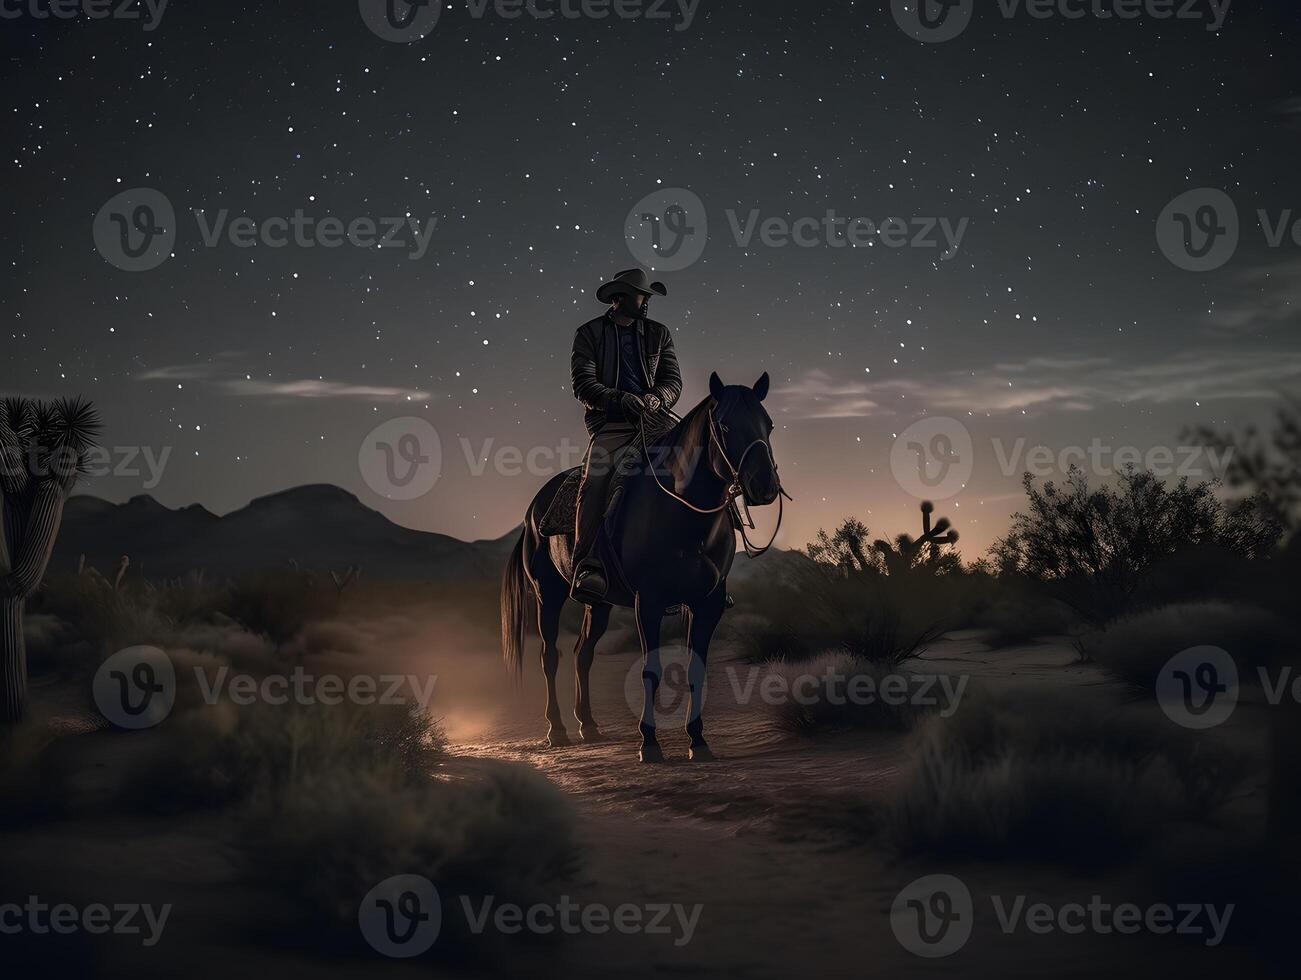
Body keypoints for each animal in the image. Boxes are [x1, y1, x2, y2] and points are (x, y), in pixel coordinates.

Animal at [496, 369, 780, 760]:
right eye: (723, 425)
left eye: (768, 424)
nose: (765, 485)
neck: (684, 514)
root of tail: (532, 512)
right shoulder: (649, 601)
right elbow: (651, 669)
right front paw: (649, 742)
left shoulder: (707, 603)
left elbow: (696, 669)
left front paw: (698, 741)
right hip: (547, 594)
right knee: (549, 655)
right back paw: (557, 730)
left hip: (597, 602)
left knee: (582, 654)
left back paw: (589, 725)